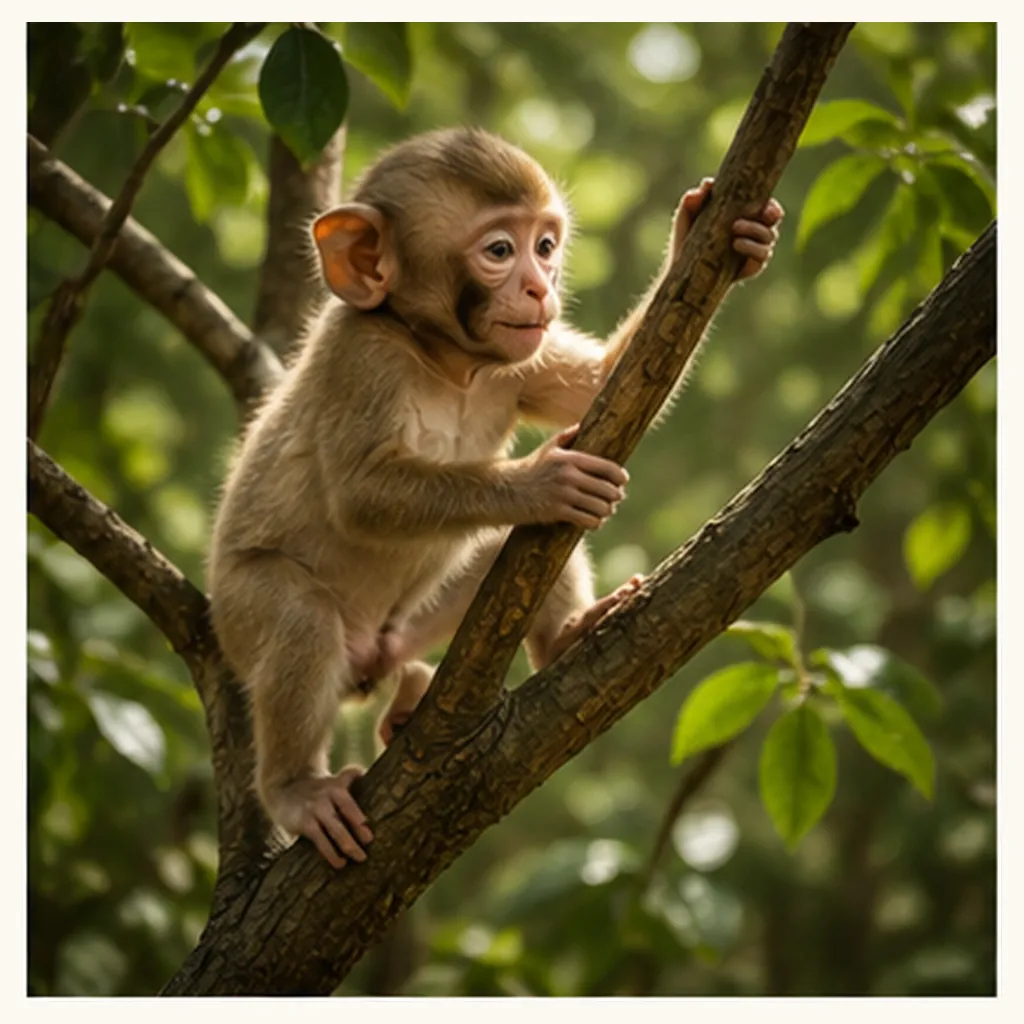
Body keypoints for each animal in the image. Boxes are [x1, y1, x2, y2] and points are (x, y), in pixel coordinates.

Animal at [207, 127, 783, 869]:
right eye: (501, 251)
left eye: (546, 245)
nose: (539, 287)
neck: (442, 359)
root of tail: (367, 662)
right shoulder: (362, 356)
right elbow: (360, 495)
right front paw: (543, 481)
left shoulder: (514, 362)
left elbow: (598, 387)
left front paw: (714, 235)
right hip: (239, 613)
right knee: (299, 618)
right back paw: (297, 789)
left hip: (405, 628)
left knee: (498, 552)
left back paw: (555, 639)